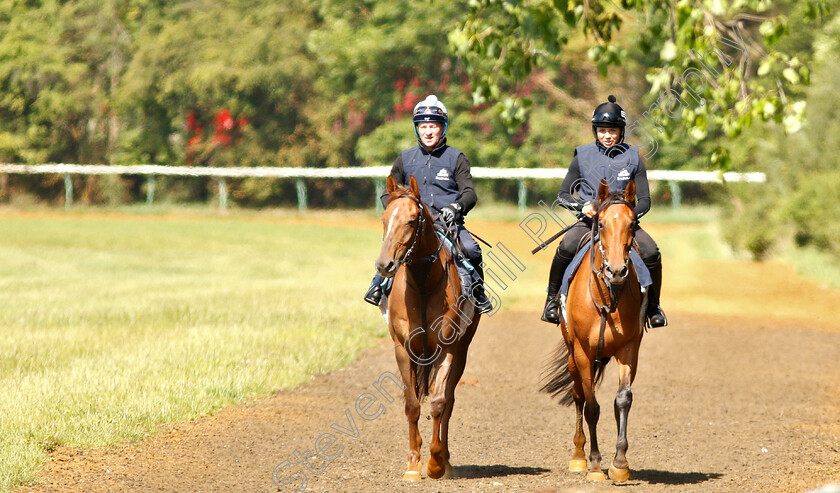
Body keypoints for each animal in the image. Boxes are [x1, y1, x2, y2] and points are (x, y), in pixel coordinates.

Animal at [374, 174, 480, 480]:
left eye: (411, 220)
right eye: (384, 219)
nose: (384, 264)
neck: (422, 285)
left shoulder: (447, 349)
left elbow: (439, 403)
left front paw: (434, 462)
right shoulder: (403, 349)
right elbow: (411, 404)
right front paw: (412, 464)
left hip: (462, 350)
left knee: (449, 401)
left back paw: (445, 461)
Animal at [540, 179, 648, 482]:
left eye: (632, 223)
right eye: (600, 223)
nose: (617, 271)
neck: (608, 297)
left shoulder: (629, 349)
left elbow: (623, 400)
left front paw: (620, 464)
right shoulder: (582, 353)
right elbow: (591, 406)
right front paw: (596, 465)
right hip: (572, 356)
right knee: (578, 396)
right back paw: (579, 457)